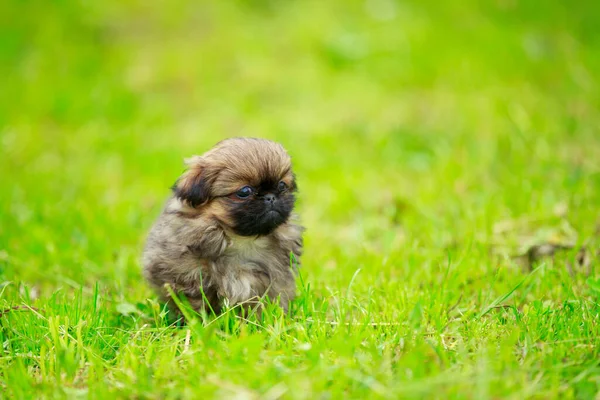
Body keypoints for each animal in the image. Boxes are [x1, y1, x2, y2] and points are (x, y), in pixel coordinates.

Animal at [142, 138, 302, 316]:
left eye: (282, 186)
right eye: (245, 191)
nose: (271, 197)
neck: (242, 239)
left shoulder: (274, 279)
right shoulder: (188, 276)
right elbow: (195, 304)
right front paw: (198, 320)